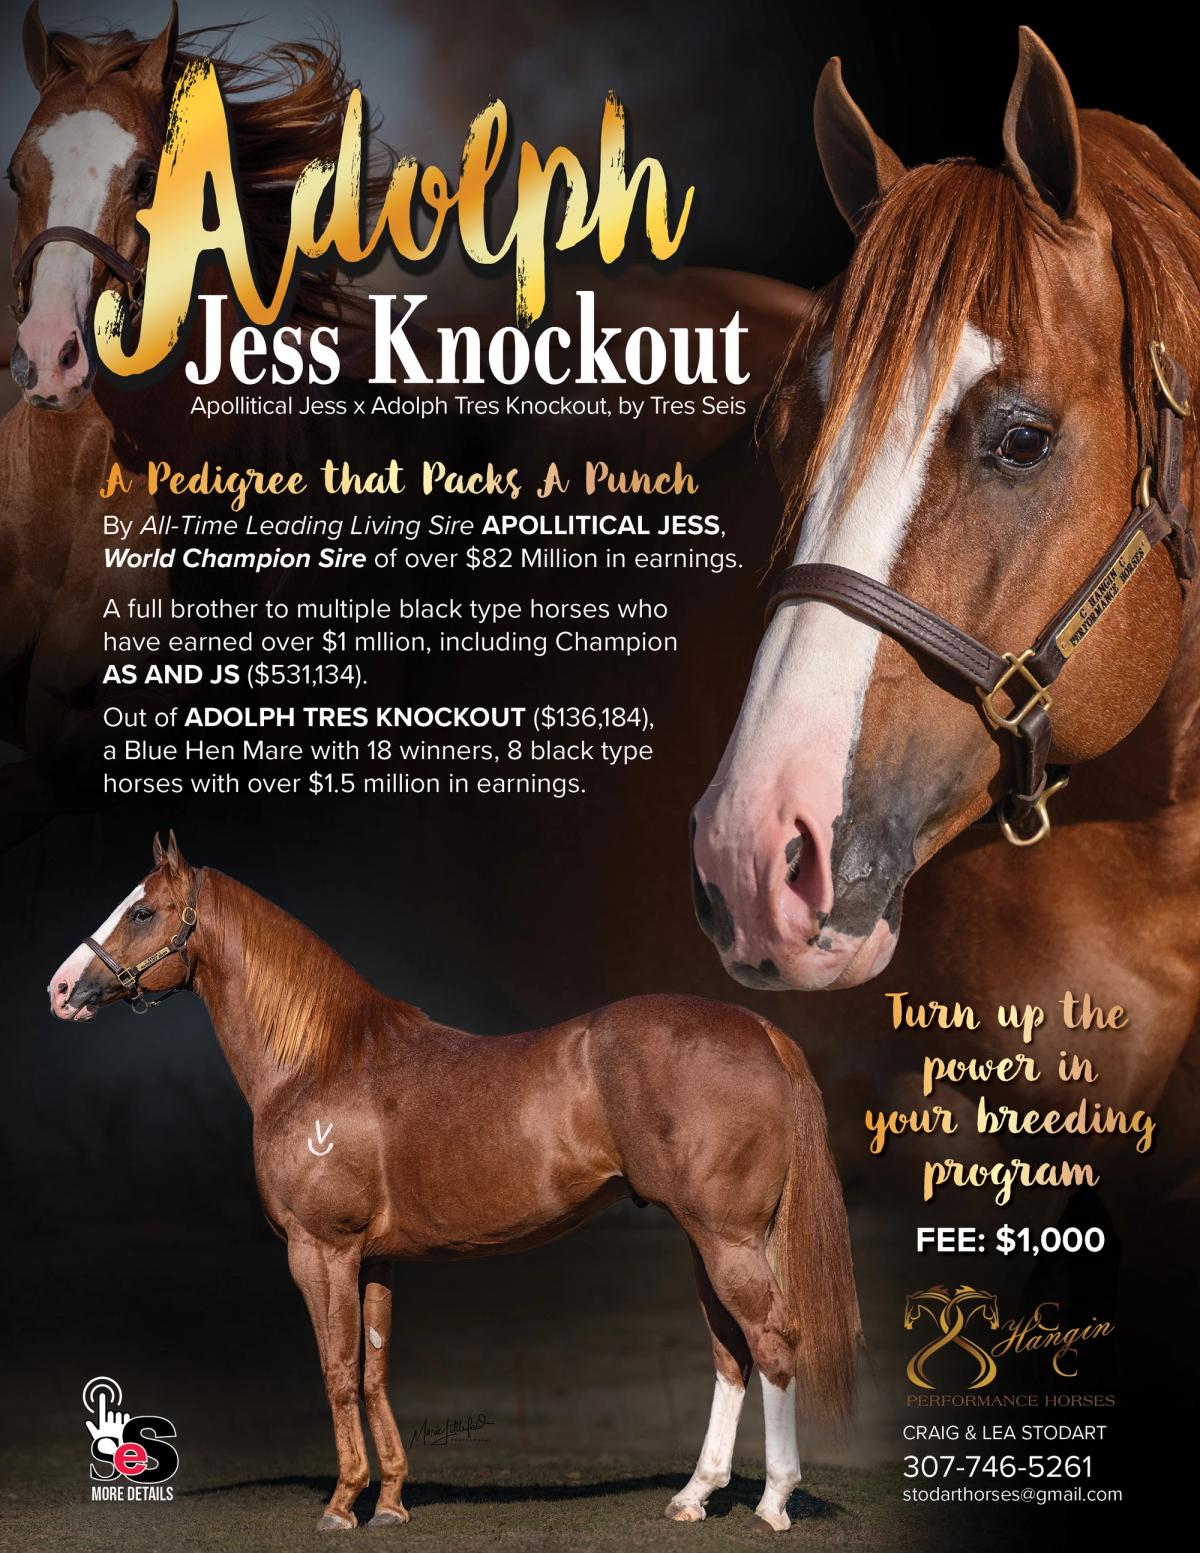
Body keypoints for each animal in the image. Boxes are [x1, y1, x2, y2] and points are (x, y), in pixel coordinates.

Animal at [47, 832, 860, 1533]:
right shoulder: (374, 1258)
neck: (318, 1062)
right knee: (732, 1354)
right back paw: (694, 1495)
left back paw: (773, 1502)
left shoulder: (320, 1250)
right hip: (707, 1240)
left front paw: (342, 1503)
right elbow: (374, 1370)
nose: (60, 989)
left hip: (727, 1240)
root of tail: (759, 1030)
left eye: (143, 910)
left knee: (773, 1342)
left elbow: (337, 1368)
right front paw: (390, 1503)